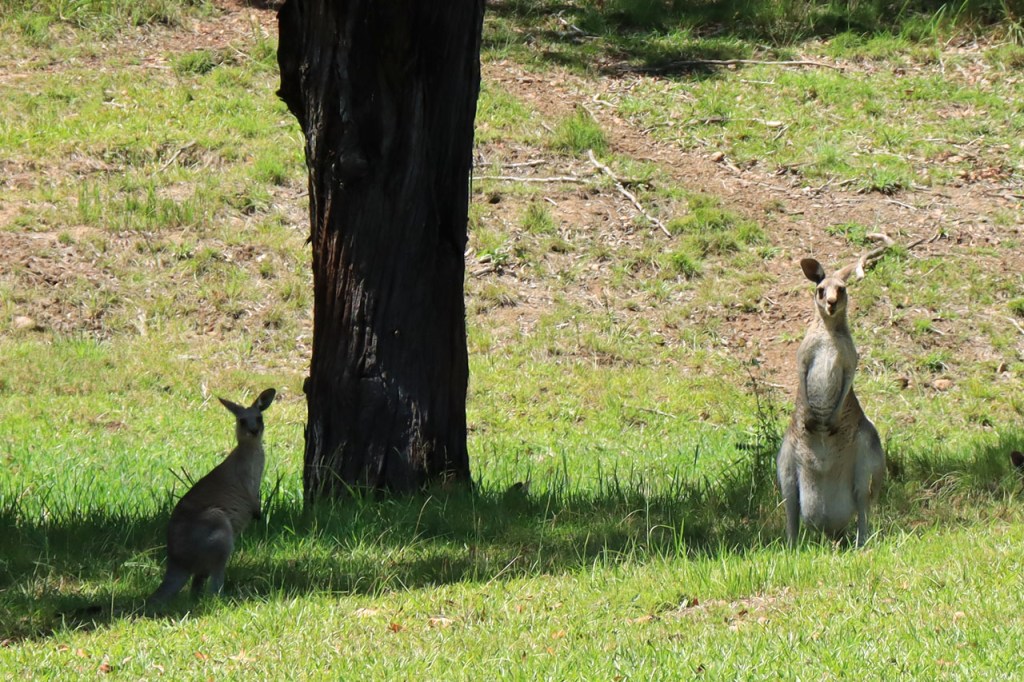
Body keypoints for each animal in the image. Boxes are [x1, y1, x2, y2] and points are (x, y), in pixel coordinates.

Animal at [148, 388, 276, 604]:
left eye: (259, 418)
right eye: (242, 421)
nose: (254, 431)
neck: (250, 448)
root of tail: (177, 563)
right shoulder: (244, 477)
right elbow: (249, 494)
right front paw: (258, 513)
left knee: (198, 585)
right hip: (218, 528)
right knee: (213, 584)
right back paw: (224, 598)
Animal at [776, 238, 892, 548]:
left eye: (842, 289)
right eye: (820, 290)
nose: (830, 303)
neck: (828, 332)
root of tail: (830, 529)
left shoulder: (850, 360)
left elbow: (847, 380)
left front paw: (829, 421)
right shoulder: (805, 356)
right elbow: (801, 376)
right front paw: (813, 419)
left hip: (868, 458)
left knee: (864, 504)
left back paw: (861, 544)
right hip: (786, 462)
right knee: (791, 508)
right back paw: (791, 547)